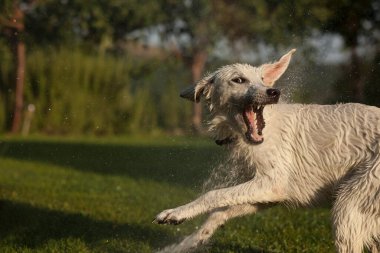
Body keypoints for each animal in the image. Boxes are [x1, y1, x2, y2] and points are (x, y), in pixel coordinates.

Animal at [154, 49, 380, 253]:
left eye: (263, 80)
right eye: (238, 80)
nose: (274, 92)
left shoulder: (272, 182)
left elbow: (212, 194)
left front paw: (176, 213)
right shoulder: (269, 193)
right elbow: (219, 212)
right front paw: (187, 243)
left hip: (349, 206)